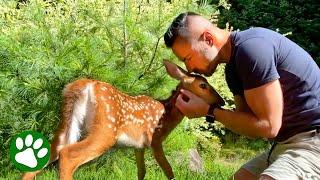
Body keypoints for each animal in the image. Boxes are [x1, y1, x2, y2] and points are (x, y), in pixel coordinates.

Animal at [21, 59, 225, 179]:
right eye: (203, 85)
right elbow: (168, 170)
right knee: (68, 155)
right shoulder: (155, 140)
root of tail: (85, 85)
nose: (221, 101)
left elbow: (141, 171)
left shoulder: (138, 146)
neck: (166, 113)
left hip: (66, 123)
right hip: (105, 130)